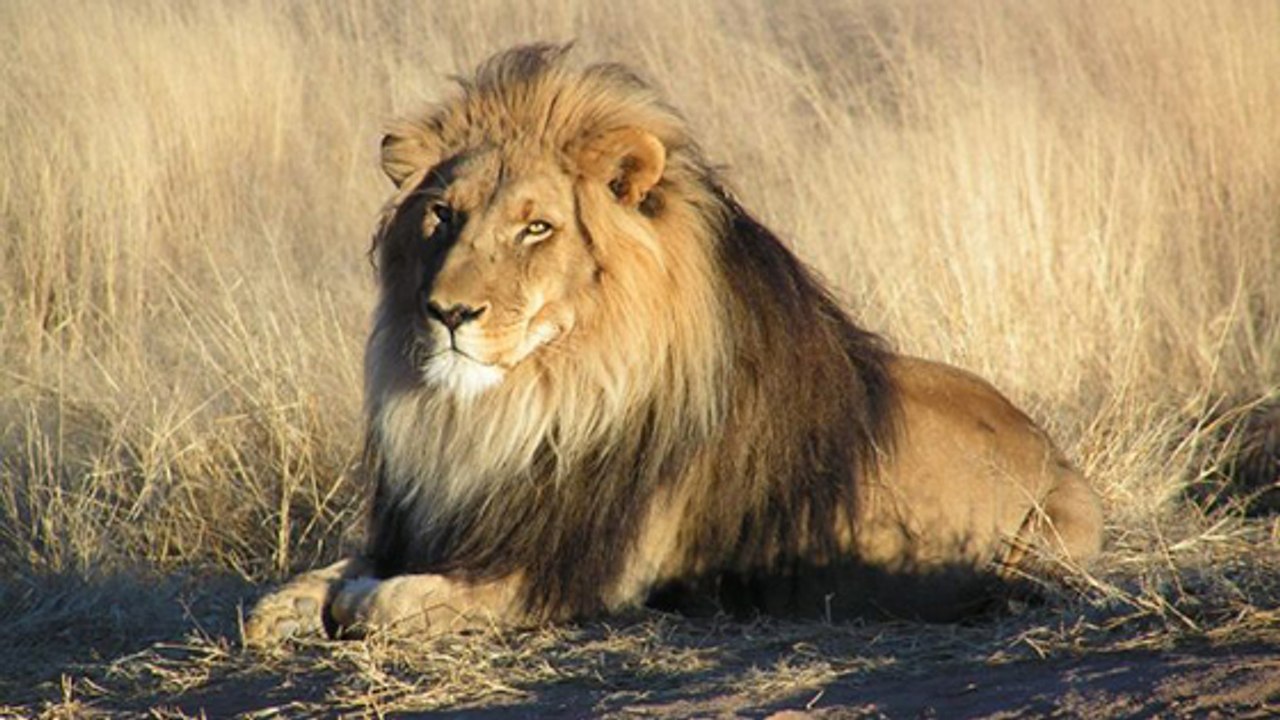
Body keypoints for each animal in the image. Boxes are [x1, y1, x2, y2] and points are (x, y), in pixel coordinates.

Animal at [245, 44, 1103, 644]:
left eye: (537, 227)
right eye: (443, 216)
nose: (447, 312)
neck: (521, 408)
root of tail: (1051, 446)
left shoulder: (574, 573)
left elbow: (387, 602)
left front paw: (354, 602)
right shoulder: (437, 524)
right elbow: (303, 586)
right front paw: (289, 606)